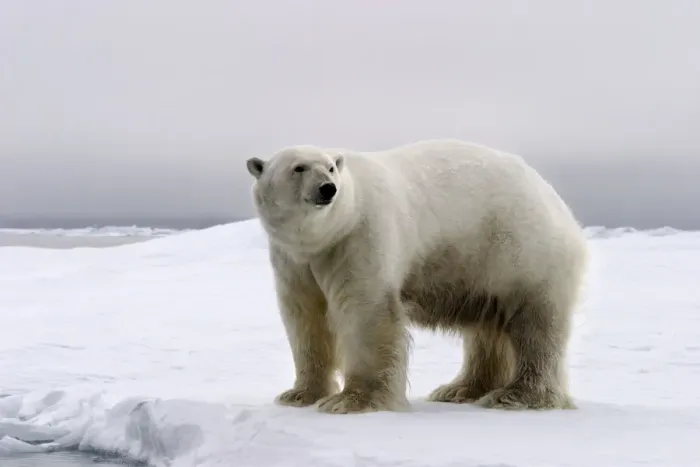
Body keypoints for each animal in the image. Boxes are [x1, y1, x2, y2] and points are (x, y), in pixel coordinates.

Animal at [245, 138, 589, 414]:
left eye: (330, 167)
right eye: (299, 167)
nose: (328, 188)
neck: (327, 235)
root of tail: (558, 202)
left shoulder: (361, 237)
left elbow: (365, 311)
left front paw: (352, 400)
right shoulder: (293, 260)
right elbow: (304, 318)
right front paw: (299, 394)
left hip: (522, 253)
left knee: (535, 325)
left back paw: (516, 395)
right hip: (485, 267)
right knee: (488, 329)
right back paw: (460, 389)